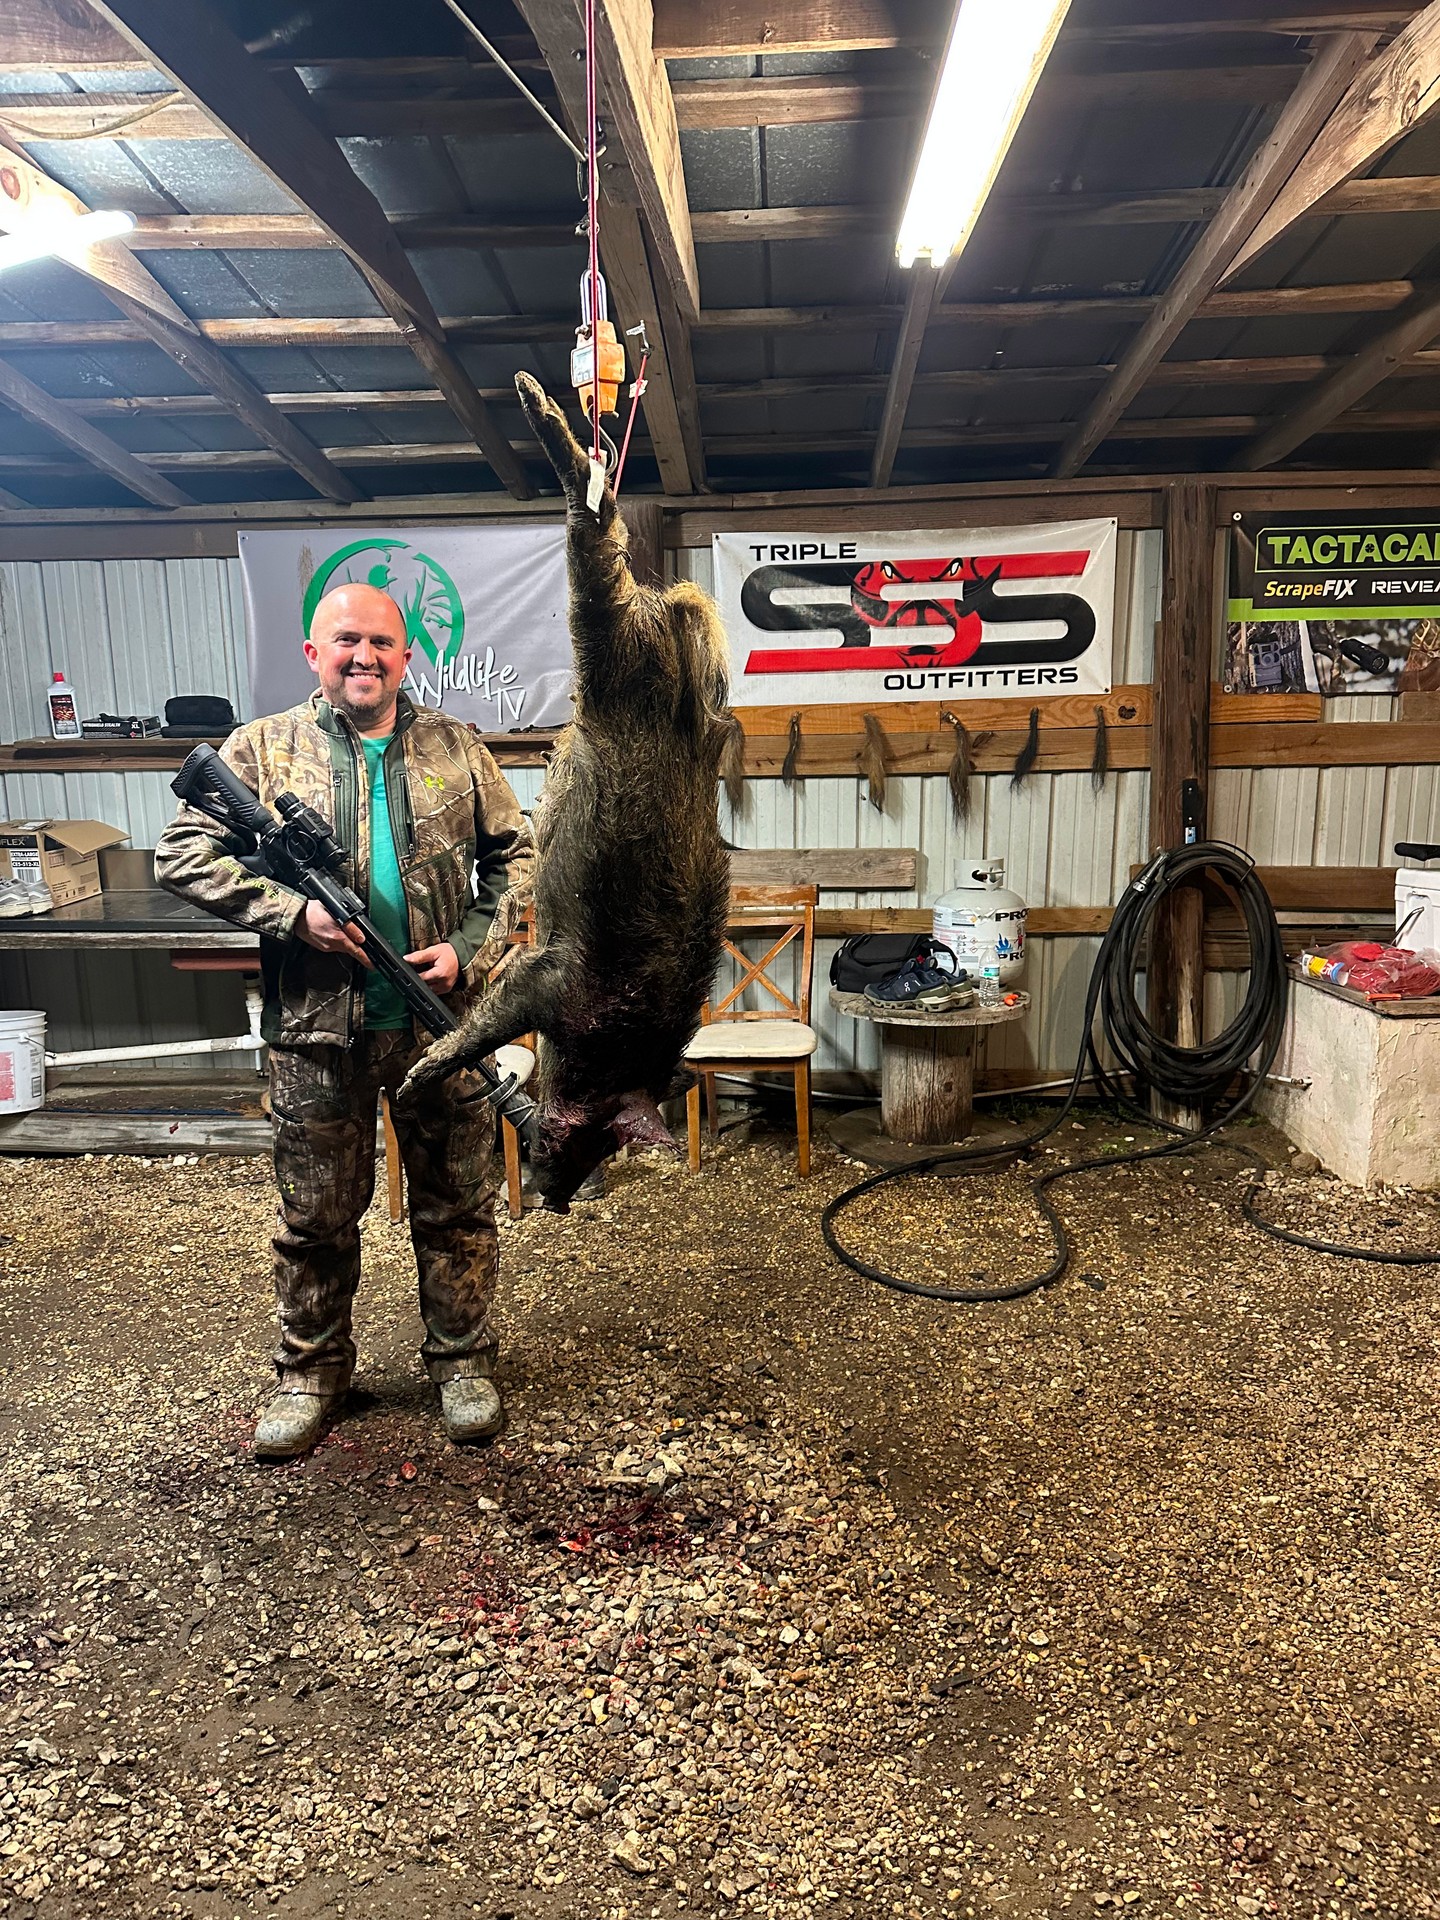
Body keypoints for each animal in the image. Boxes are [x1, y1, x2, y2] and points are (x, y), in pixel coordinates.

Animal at [399, 372, 732, 1210]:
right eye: (599, 1134)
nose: (555, 1199)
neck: (611, 1043)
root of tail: (662, 618)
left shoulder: (543, 983)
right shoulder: (543, 982)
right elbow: (481, 1028)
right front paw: (421, 1074)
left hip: (609, 646)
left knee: (597, 524)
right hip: (605, 637)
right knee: (594, 521)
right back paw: (536, 404)